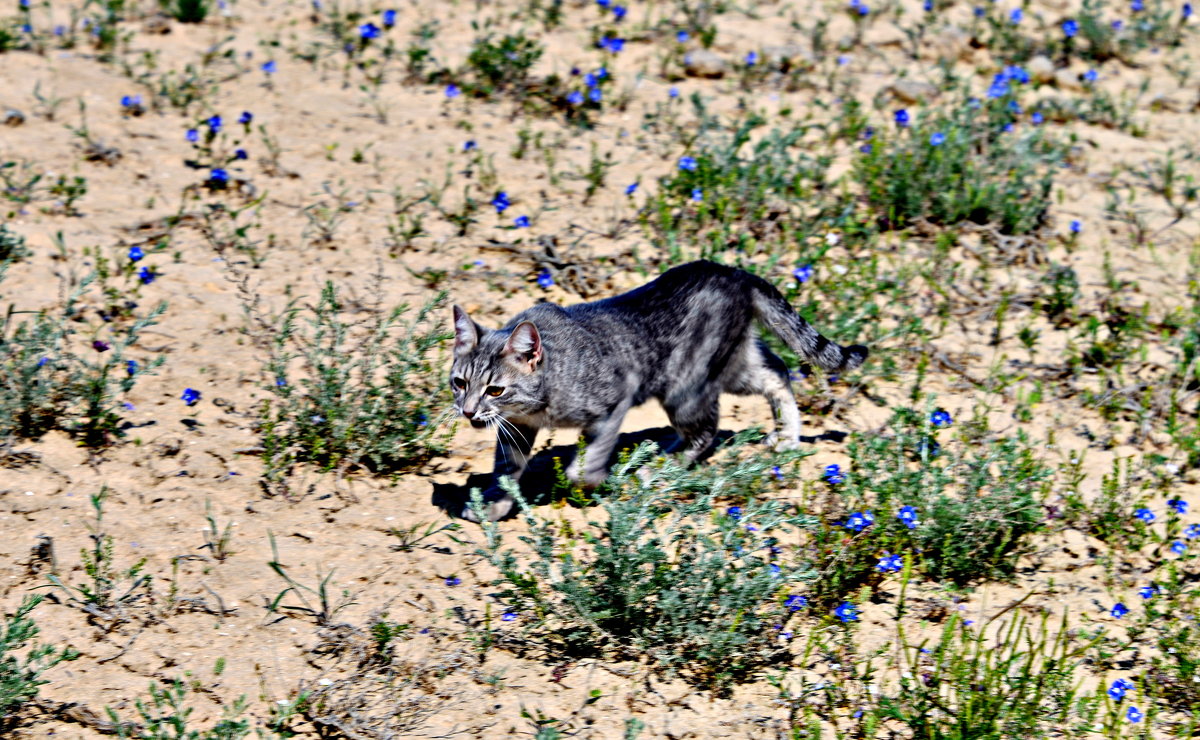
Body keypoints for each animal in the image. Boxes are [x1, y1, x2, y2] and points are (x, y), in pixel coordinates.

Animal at [448, 260, 864, 520]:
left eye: (495, 390)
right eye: (460, 383)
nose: (468, 411)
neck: (541, 402)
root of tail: (732, 271)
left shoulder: (614, 401)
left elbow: (583, 466)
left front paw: (598, 479)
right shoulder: (516, 427)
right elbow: (505, 471)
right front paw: (493, 507)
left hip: (687, 385)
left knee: (707, 430)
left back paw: (658, 467)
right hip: (733, 365)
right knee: (778, 371)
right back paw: (788, 436)